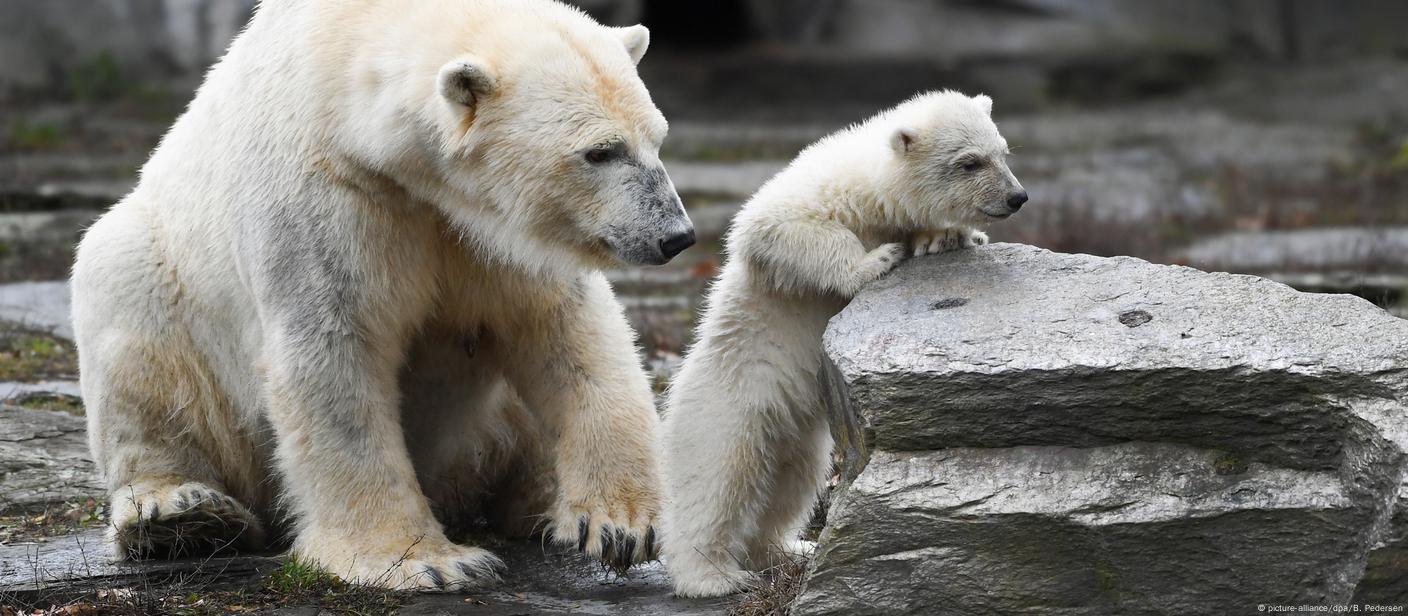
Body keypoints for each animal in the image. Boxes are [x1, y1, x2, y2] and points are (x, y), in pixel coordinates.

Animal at [71, 0, 692, 590]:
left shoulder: (492, 232)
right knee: (137, 343)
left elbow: (566, 331)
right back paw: (183, 514)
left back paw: (542, 504)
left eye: (657, 138)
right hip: (161, 281)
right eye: (599, 152)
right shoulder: (327, 193)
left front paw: (623, 524)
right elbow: (337, 352)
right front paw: (424, 563)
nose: (676, 235)